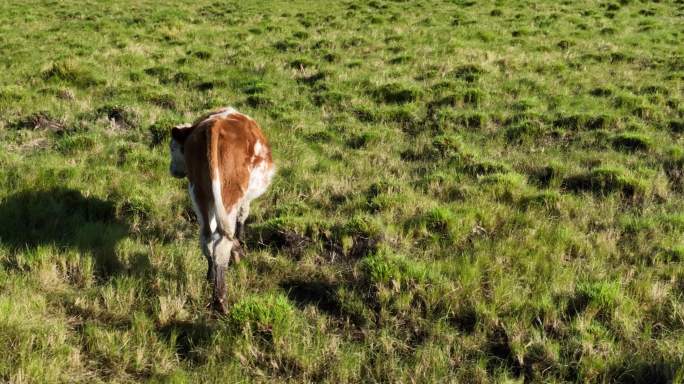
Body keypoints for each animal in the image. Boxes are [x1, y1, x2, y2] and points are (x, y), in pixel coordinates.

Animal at [170, 106, 274, 314]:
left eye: (173, 148)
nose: (172, 170)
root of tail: (213, 125)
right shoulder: (244, 198)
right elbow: (243, 216)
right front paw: (241, 242)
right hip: (229, 195)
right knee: (221, 242)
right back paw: (221, 300)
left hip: (200, 193)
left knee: (206, 238)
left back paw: (211, 276)